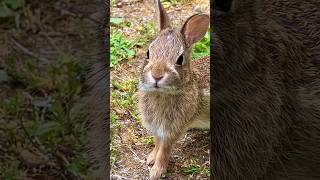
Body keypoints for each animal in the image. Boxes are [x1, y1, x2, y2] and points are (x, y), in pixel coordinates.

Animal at [138, 0, 210, 179]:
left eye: (180, 59)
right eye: (148, 53)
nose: (156, 75)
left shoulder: (173, 130)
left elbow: (165, 150)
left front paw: (156, 171)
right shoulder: (157, 129)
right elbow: (157, 144)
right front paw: (150, 158)